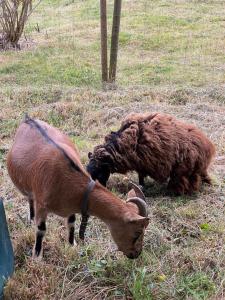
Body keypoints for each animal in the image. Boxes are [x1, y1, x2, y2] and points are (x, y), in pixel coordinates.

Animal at [6, 116, 149, 258]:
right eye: (137, 232)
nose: (136, 254)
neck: (64, 178)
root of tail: (28, 118)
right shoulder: (41, 205)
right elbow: (41, 229)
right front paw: (37, 256)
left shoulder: (71, 206)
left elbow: (71, 222)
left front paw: (72, 244)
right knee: (30, 199)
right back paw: (31, 219)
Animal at [87, 112, 215, 195]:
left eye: (99, 172)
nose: (100, 190)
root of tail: (208, 145)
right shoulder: (140, 163)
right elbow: (141, 177)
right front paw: (141, 187)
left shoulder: (142, 162)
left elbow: (141, 178)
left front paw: (142, 188)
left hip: (183, 168)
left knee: (184, 179)